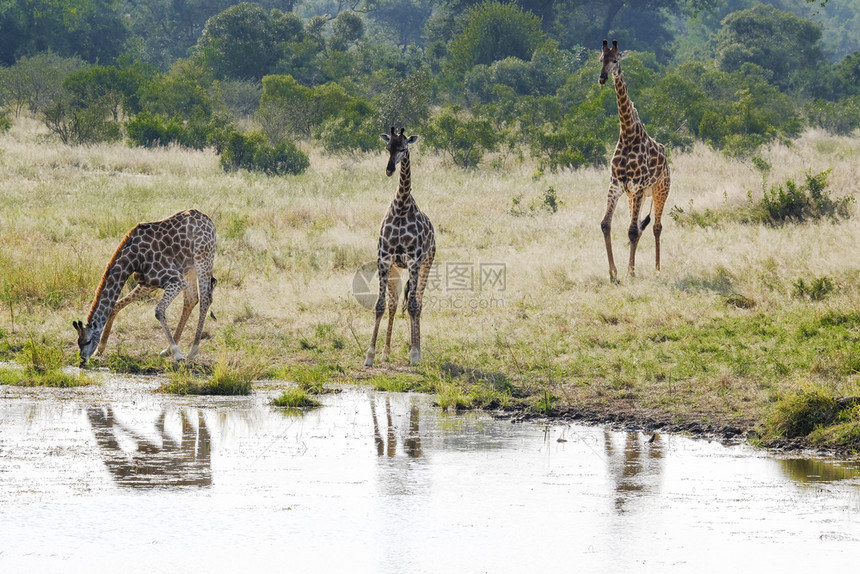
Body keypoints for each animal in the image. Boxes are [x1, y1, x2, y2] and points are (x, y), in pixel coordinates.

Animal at [72, 210, 217, 364]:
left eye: (87, 341)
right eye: (78, 342)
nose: (82, 360)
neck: (133, 258)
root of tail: (208, 220)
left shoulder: (176, 280)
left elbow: (158, 311)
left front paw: (177, 353)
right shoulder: (148, 283)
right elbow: (116, 305)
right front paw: (101, 348)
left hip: (203, 258)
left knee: (205, 299)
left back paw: (192, 351)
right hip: (189, 268)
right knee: (191, 300)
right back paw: (167, 350)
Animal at [364, 127, 436, 366]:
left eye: (403, 148)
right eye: (388, 147)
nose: (389, 170)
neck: (402, 205)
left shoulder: (414, 260)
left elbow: (413, 305)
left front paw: (413, 354)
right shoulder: (384, 258)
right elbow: (381, 304)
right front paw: (370, 355)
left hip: (426, 263)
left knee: (418, 303)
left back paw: (418, 352)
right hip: (396, 268)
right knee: (395, 304)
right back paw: (386, 353)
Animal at [596, 39, 672, 284]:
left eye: (615, 60)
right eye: (601, 59)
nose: (602, 78)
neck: (628, 134)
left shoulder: (638, 186)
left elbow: (632, 230)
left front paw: (629, 272)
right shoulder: (617, 185)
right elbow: (606, 224)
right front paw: (613, 273)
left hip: (660, 190)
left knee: (656, 226)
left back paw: (657, 268)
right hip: (633, 196)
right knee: (639, 227)